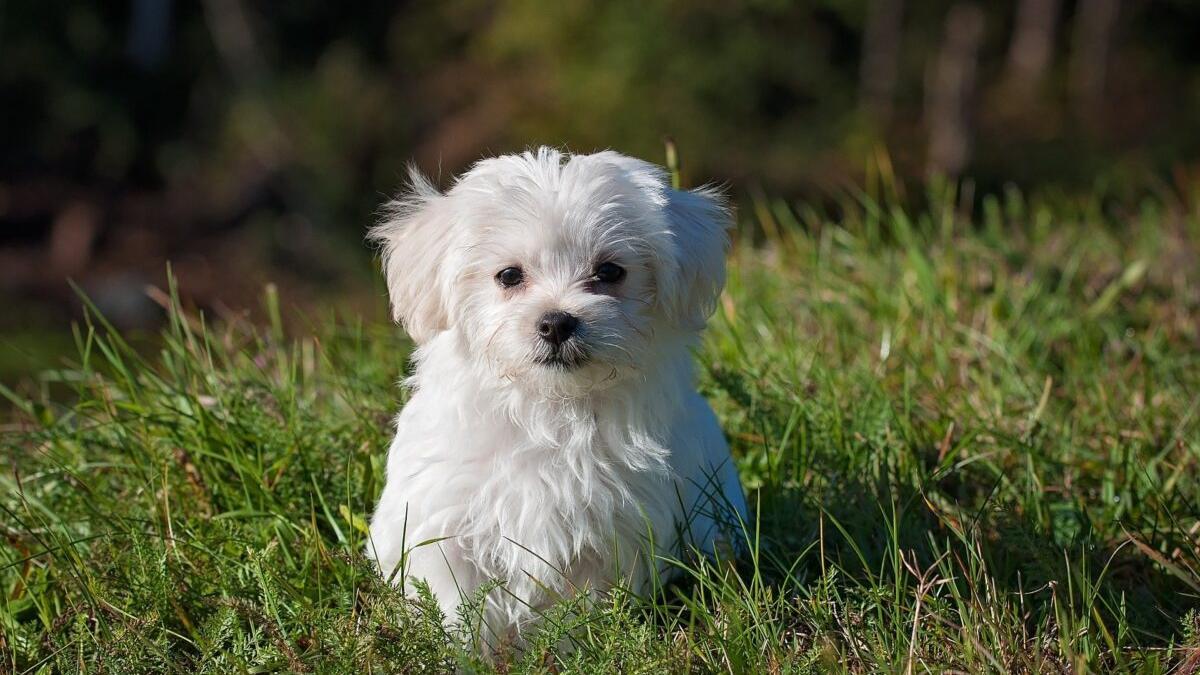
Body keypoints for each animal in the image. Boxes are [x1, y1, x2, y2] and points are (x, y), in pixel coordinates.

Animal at [367, 145, 739, 638]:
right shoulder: (445, 523)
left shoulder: (610, 534)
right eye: (508, 276)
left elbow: (582, 611)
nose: (557, 322)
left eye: (610, 271)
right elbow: (458, 607)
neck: (550, 408)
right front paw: (465, 648)